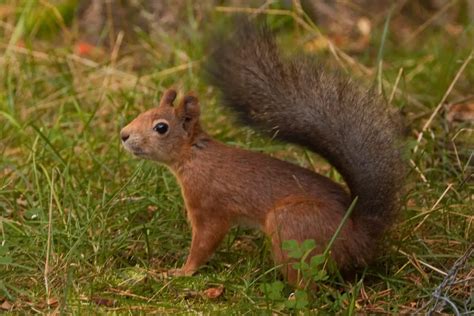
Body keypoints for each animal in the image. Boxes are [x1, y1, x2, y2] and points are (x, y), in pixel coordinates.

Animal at [119, 21, 404, 286]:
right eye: (143, 112)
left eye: (161, 127)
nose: (123, 134)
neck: (194, 155)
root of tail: (358, 238)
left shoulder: (209, 204)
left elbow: (204, 241)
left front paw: (182, 271)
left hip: (291, 225)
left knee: (308, 281)